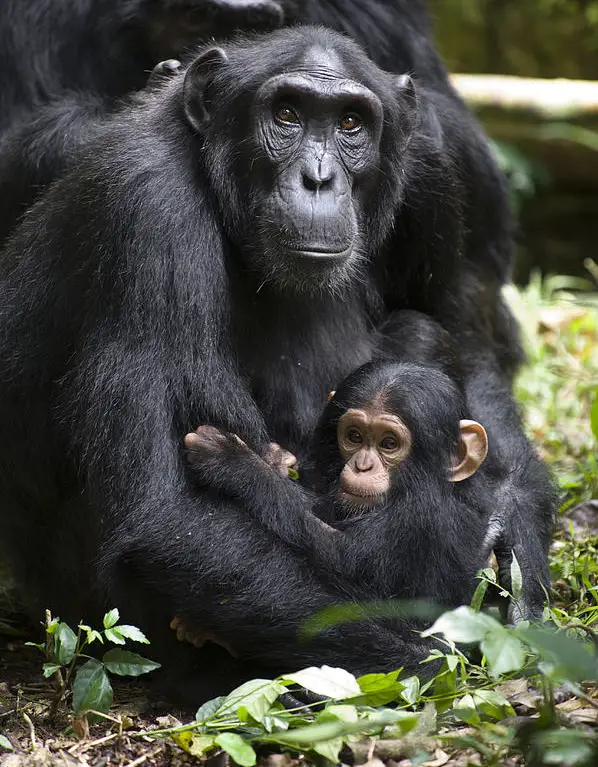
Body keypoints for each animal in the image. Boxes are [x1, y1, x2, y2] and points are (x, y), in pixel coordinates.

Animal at [0, 27, 556, 704]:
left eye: (351, 123)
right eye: (287, 114)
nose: (318, 177)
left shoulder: (429, 173)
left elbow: (459, 319)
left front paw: (512, 531)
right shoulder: (147, 205)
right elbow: (162, 510)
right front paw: (421, 662)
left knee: (420, 330)